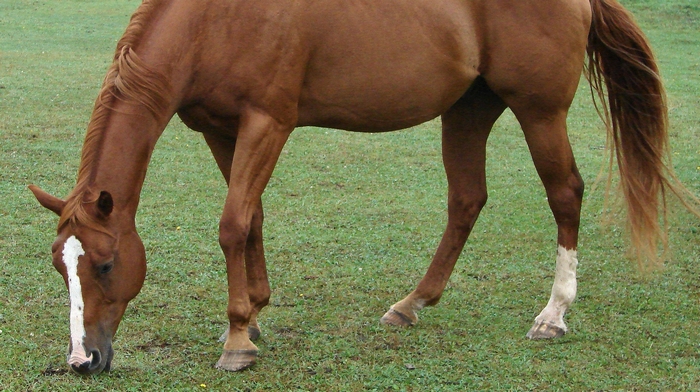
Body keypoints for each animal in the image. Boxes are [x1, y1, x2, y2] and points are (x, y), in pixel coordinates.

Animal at [30, 0, 680, 376]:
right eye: (62, 268)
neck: (214, 20)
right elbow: (252, 217)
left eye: (106, 265)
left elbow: (233, 223)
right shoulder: (221, 128)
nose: (83, 360)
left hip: (540, 111)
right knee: (466, 200)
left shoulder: (267, 122)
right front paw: (254, 315)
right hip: (470, 109)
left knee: (564, 194)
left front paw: (238, 337)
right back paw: (411, 304)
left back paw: (554, 313)